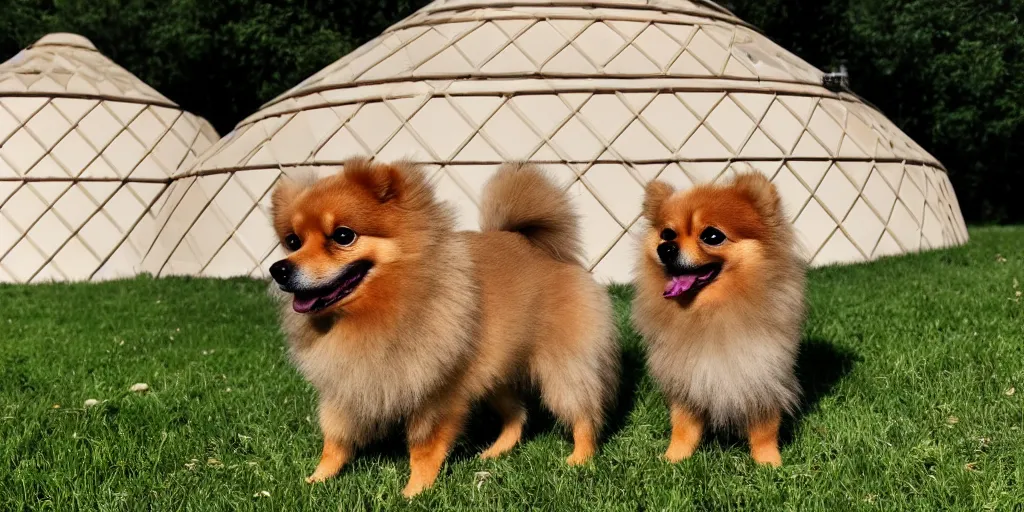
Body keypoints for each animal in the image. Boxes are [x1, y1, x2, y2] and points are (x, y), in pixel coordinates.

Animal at [268, 158, 614, 495]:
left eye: (343, 236)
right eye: (293, 241)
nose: (279, 269)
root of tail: (538, 247)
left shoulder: (434, 393)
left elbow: (423, 449)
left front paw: (415, 491)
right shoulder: (348, 387)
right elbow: (335, 441)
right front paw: (317, 480)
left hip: (561, 366)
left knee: (583, 412)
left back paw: (581, 459)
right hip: (493, 375)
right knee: (517, 414)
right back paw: (495, 452)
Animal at [630, 172, 806, 468]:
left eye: (712, 236)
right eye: (667, 234)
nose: (666, 248)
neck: (710, 310)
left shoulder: (761, 374)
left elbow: (764, 429)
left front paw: (769, 463)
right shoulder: (688, 378)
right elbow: (683, 426)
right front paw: (674, 458)